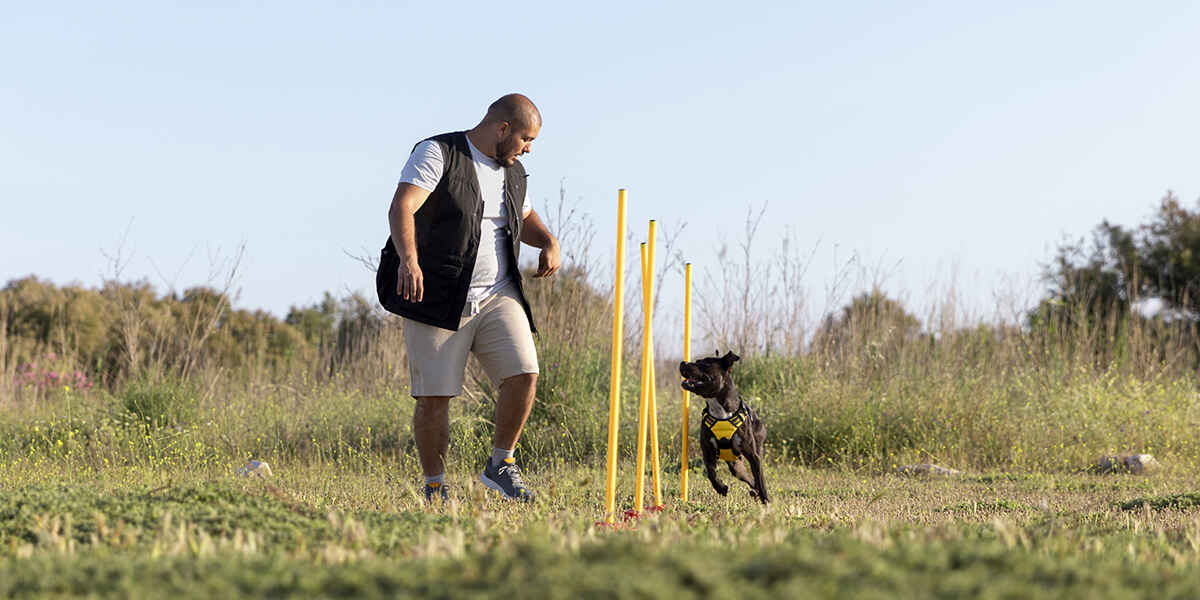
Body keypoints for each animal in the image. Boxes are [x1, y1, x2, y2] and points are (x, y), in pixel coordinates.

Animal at [676, 350, 768, 504]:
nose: (683, 362)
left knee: (756, 477)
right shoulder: (707, 451)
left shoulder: (754, 456)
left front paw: (766, 500)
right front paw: (721, 487)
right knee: (748, 478)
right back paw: (754, 492)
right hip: (736, 466)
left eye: (704, 363)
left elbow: (761, 481)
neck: (720, 410)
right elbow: (711, 473)